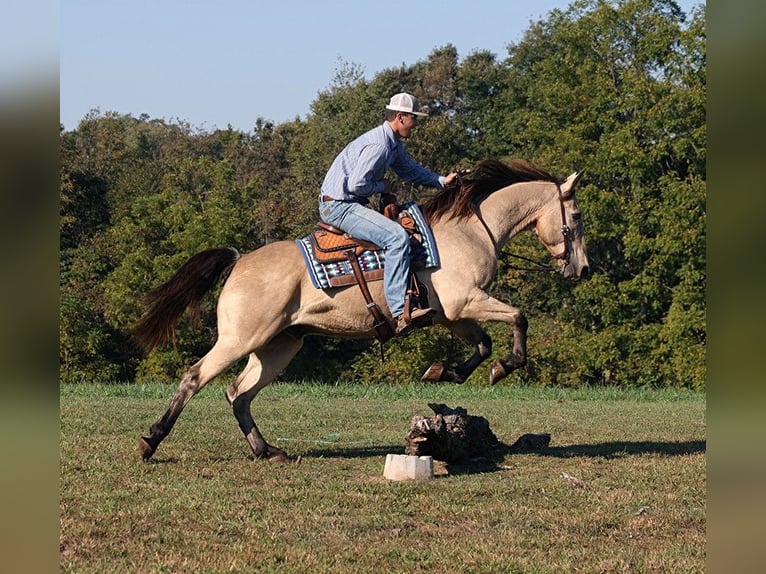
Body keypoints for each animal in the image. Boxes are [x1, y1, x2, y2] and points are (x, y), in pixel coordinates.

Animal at [134, 158, 588, 464]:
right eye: (577, 216)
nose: (582, 269)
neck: (471, 230)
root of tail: (240, 259)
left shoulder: (453, 315)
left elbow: (482, 346)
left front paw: (445, 371)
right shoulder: (466, 301)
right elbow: (517, 318)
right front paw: (504, 366)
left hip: (278, 345)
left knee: (239, 394)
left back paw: (268, 450)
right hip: (240, 338)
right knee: (196, 377)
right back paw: (150, 440)